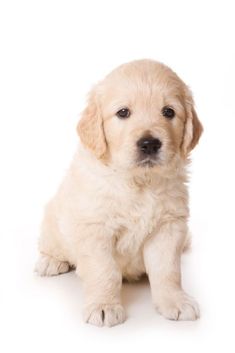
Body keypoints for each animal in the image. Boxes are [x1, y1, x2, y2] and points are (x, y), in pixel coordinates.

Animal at [35, 59, 202, 326]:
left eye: (169, 112)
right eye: (123, 112)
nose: (149, 144)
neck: (138, 182)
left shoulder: (169, 226)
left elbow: (168, 270)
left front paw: (175, 301)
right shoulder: (95, 229)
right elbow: (105, 271)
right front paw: (104, 306)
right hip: (53, 221)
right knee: (50, 244)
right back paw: (51, 261)